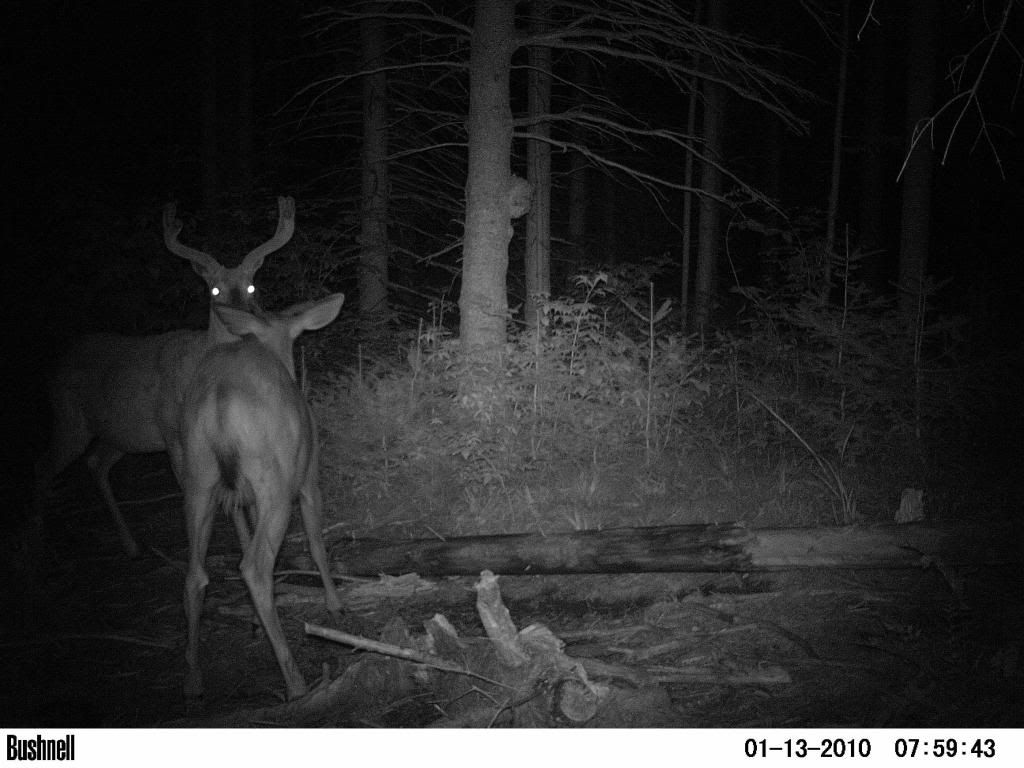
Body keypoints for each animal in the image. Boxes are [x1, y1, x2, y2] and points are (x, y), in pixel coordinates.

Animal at [33, 197, 295, 558]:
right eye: (214, 290)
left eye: (252, 286)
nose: (243, 322)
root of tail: (57, 365)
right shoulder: (175, 435)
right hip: (69, 419)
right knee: (43, 468)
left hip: (122, 433)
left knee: (95, 463)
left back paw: (130, 545)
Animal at [179, 293, 345, 701]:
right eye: (294, 336)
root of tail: (219, 398)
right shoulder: (308, 475)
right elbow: (317, 542)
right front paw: (335, 604)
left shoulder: (245, 498)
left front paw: (254, 621)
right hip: (278, 480)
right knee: (254, 566)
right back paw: (296, 681)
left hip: (198, 477)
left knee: (194, 574)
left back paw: (193, 678)